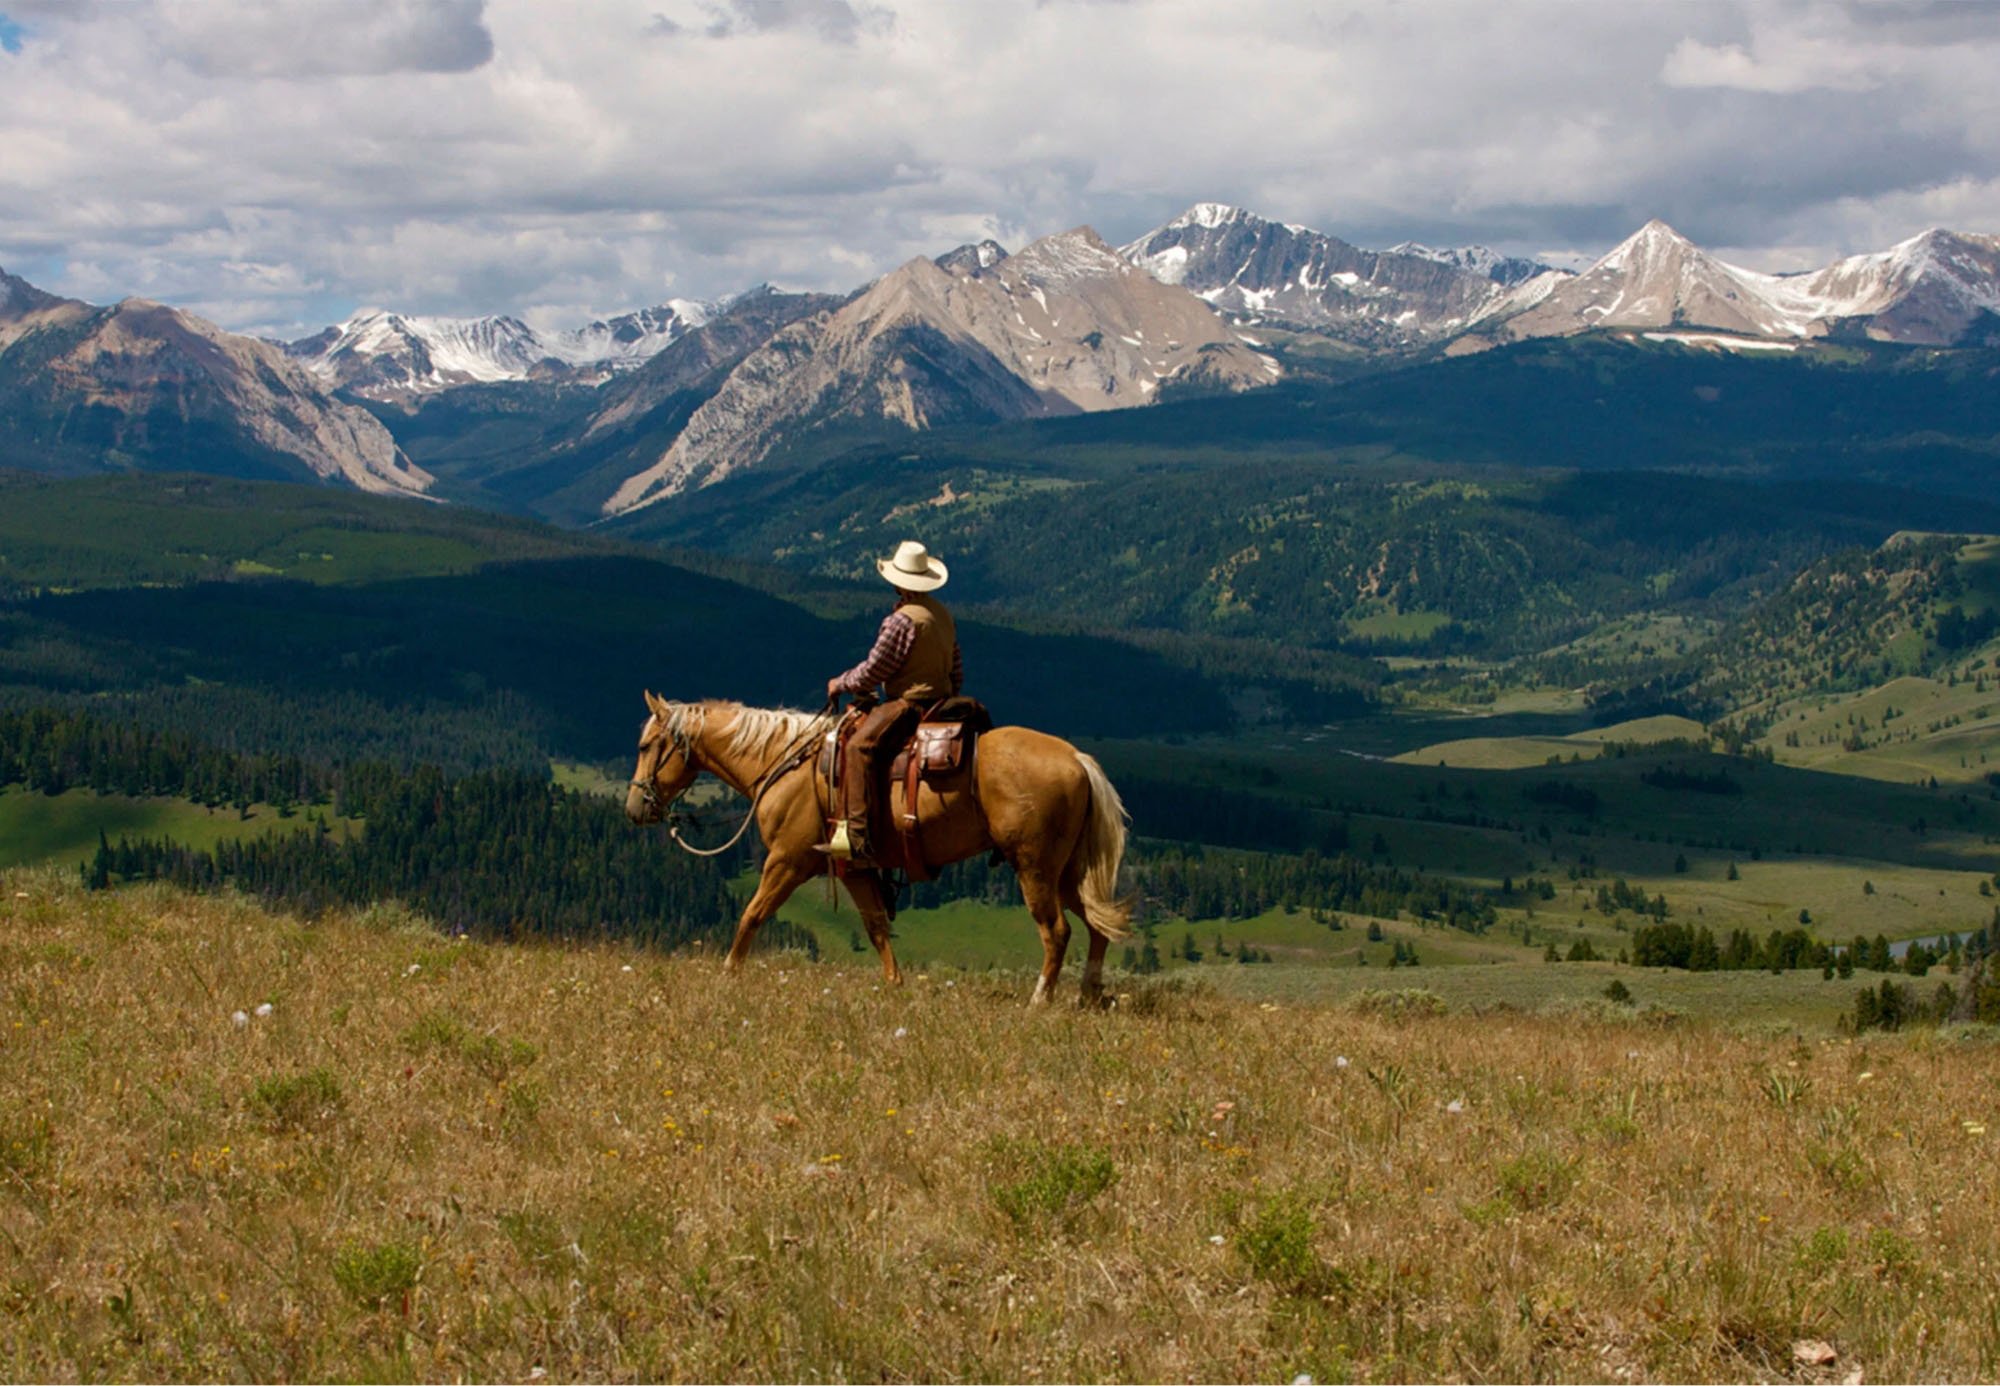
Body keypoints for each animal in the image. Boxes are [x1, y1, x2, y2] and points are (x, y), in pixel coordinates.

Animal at [624, 696, 1128, 1000]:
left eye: (646, 744)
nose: (634, 807)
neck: (783, 763)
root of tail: (1076, 759)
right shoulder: (856, 869)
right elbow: (877, 928)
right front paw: (894, 984)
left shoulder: (786, 861)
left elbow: (753, 914)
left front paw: (728, 973)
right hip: (1067, 872)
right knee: (1097, 925)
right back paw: (1088, 995)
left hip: (1034, 868)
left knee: (1057, 931)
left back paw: (1040, 1000)